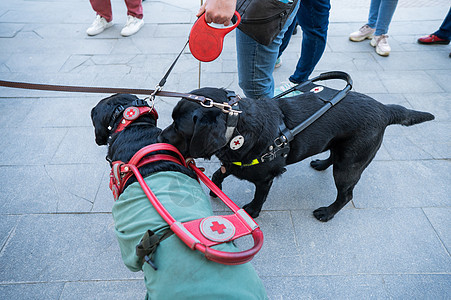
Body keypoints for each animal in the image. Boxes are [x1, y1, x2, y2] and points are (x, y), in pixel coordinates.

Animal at [161, 88, 436, 221]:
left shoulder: (265, 178)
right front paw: (215, 187)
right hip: (339, 148)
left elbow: (259, 197)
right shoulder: (234, 162)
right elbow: (220, 173)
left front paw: (252, 211)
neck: (239, 127)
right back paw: (321, 164)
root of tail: (384, 108)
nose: (161, 137)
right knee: (333, 156)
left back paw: (328, 212)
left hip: (349, 165)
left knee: (346, 194)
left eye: (179, 127)